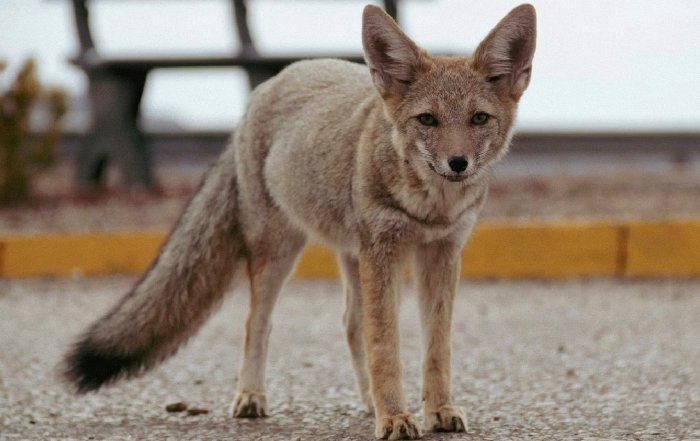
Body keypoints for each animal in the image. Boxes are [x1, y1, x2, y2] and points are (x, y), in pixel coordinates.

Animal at [62, 4, 536, 440]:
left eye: (478, 118)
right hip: (280, 252)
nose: (458, 163)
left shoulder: (441, 253)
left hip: (351, 256)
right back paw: (251, 397)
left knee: (351, 324)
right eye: (428, 120)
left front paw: (437, 410)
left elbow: (436, 348)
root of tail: (271, 84)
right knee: (258, 323)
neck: (430, 209)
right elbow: (386, 346)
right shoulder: (385, 251)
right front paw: (396, 418)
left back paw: (368, 401)